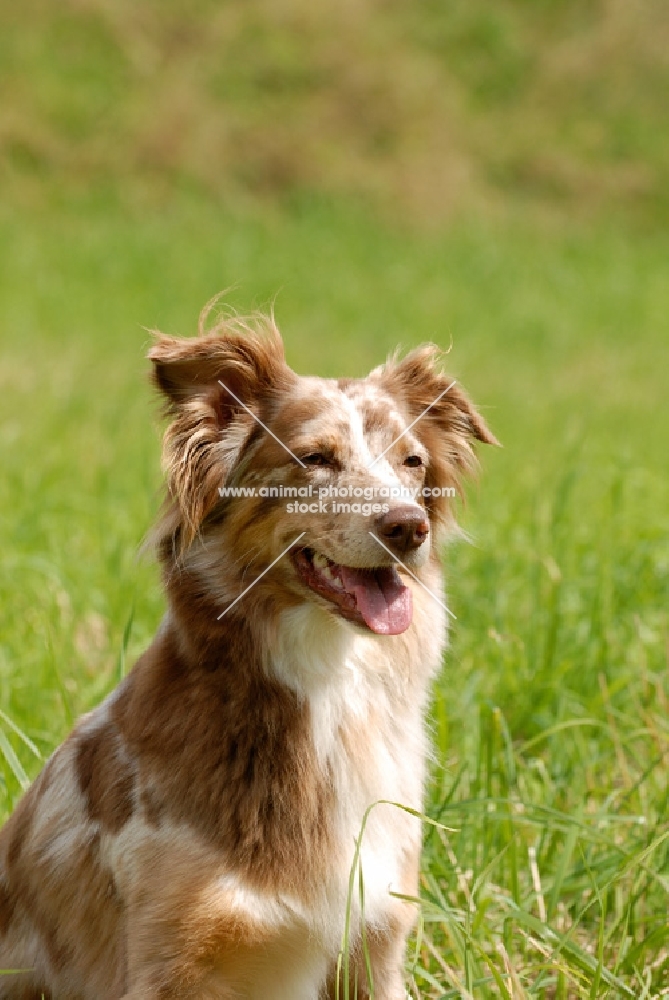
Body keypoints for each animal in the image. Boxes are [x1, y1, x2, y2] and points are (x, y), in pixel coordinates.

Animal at [0, 308, 496, 996]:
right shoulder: (172, 957)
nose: (408, 527)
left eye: (413, 462)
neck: (329, 686)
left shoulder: (375, 941)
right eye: (314, 458)